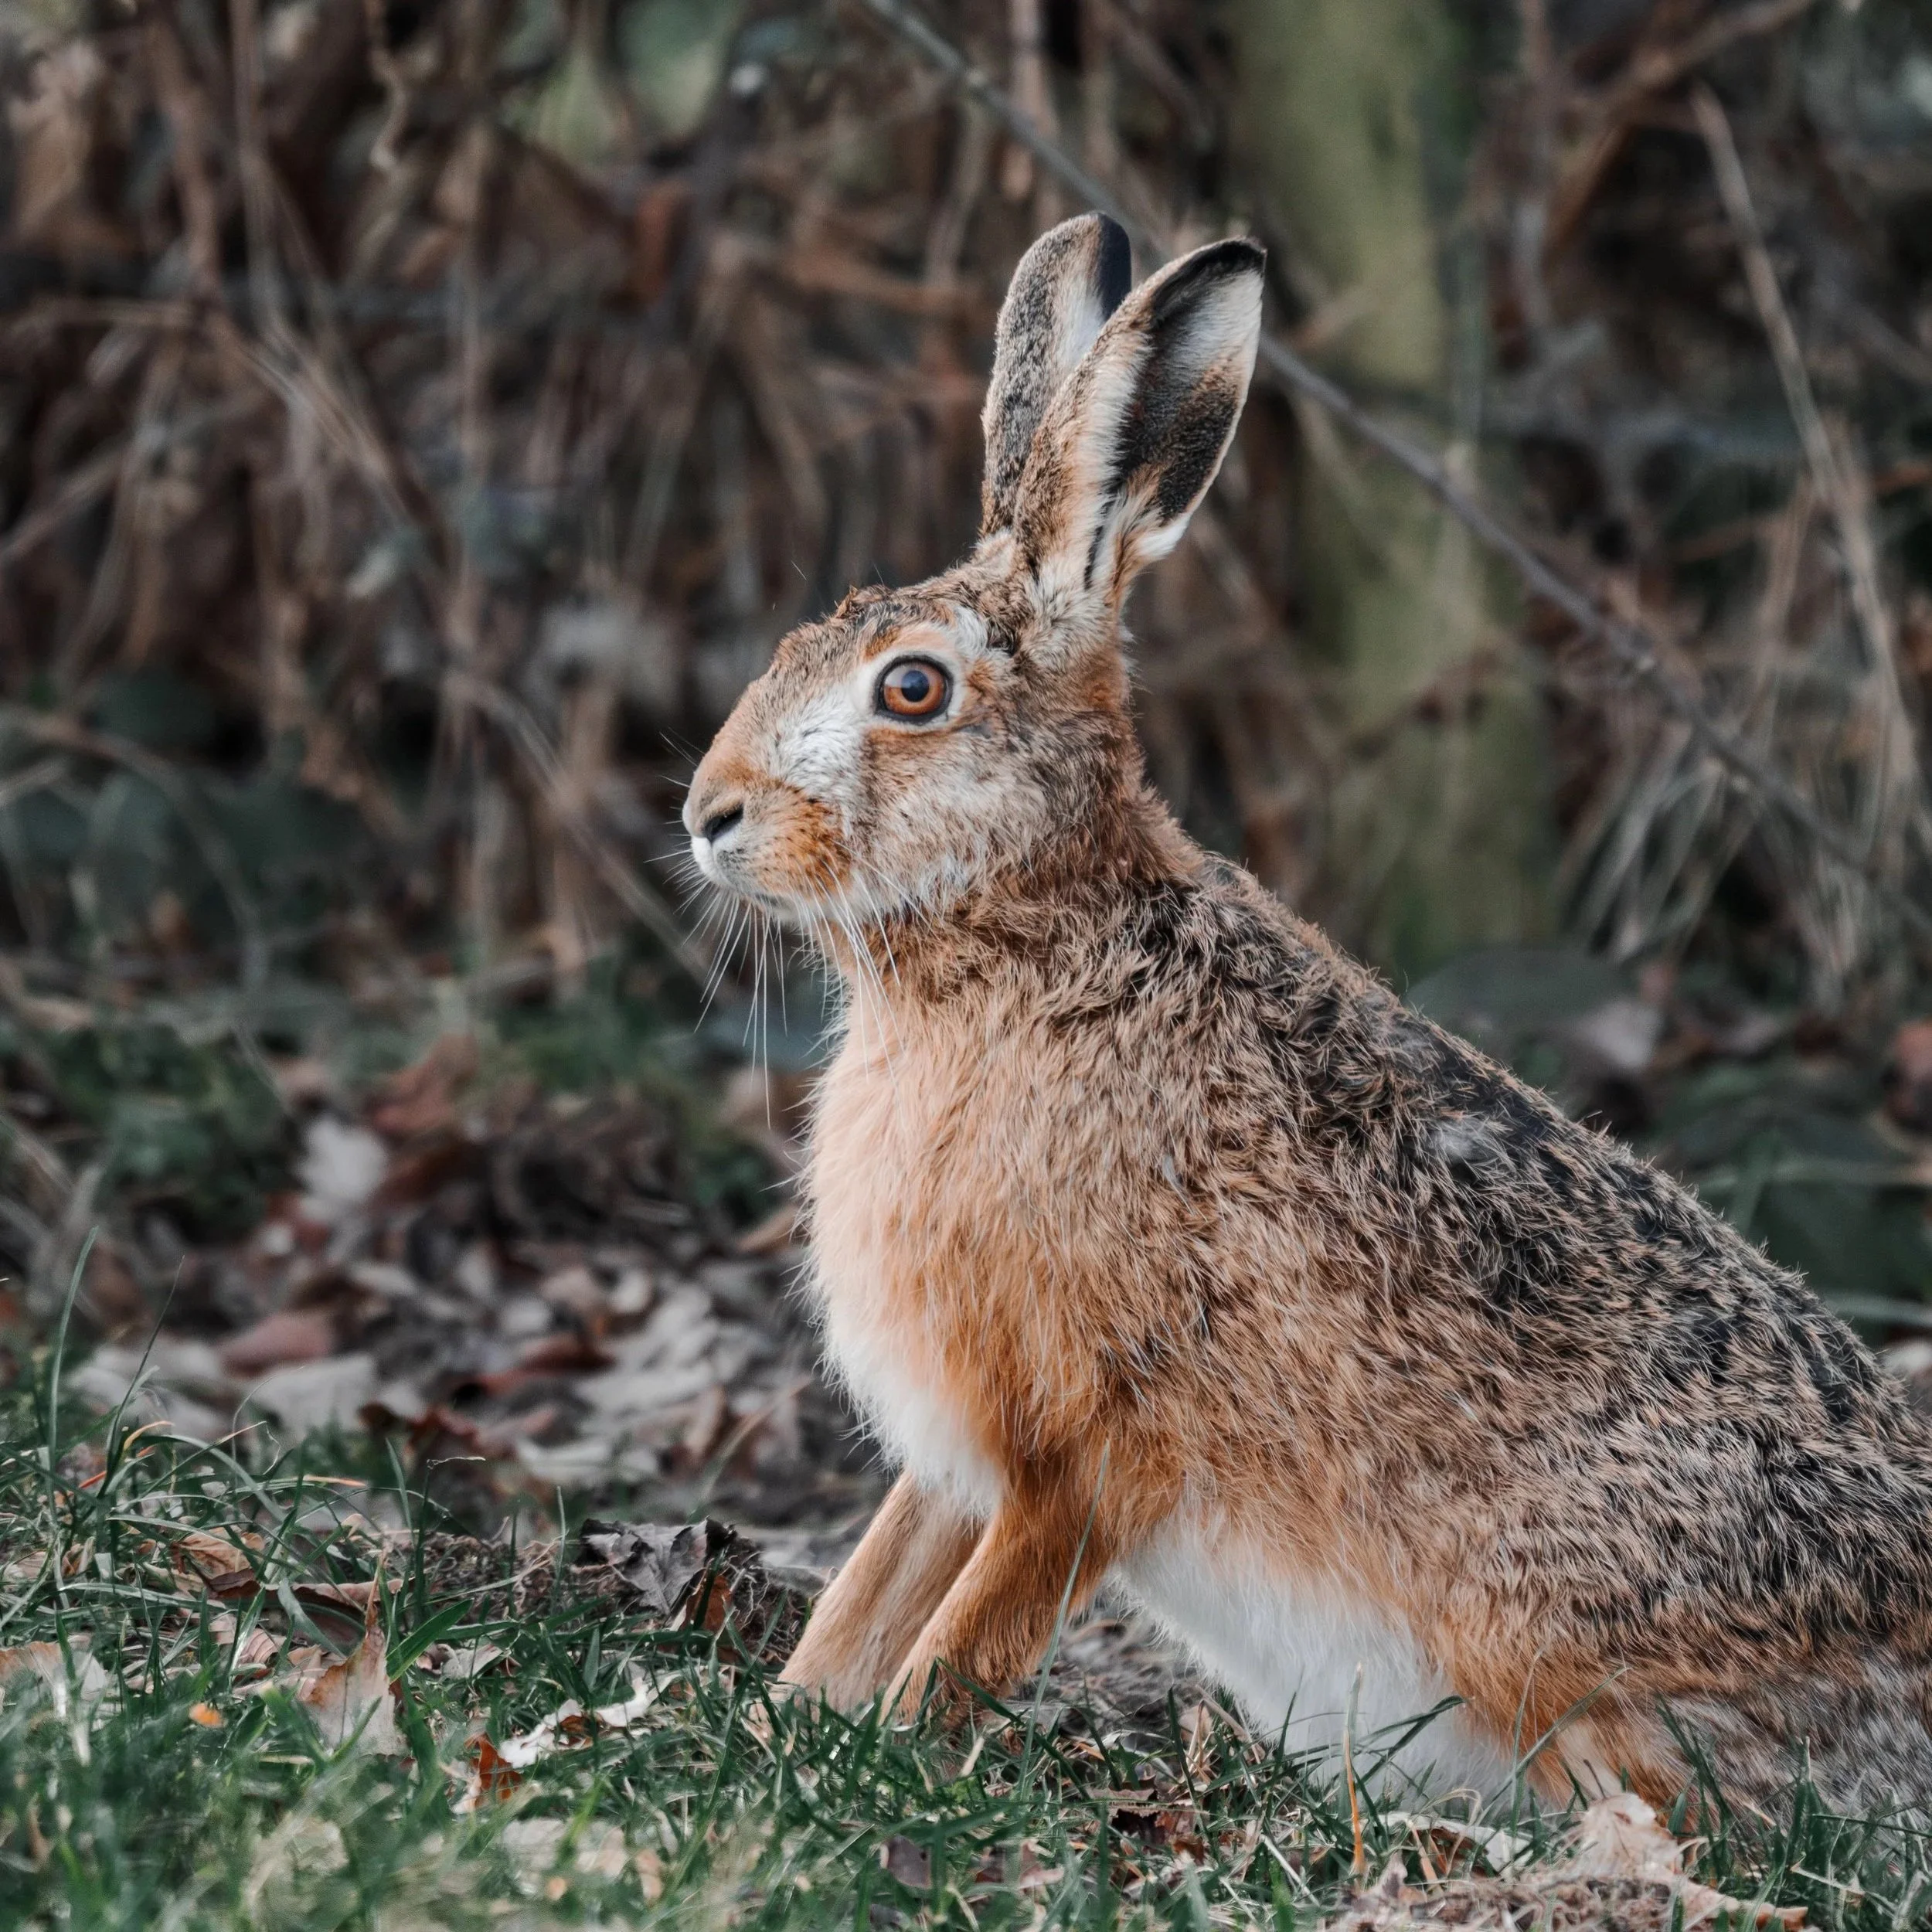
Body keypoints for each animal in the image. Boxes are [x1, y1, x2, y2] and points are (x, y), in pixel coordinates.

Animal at [683, 211, 1932, 1815]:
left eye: (911, 690)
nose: (708, 813)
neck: (1033, 944)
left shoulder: (1086, 1450)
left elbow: (967, 1641)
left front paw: (894, 1753)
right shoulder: (958, 1460)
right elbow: (868, 1596)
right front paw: (789, 1722)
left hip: (1552, 1627)